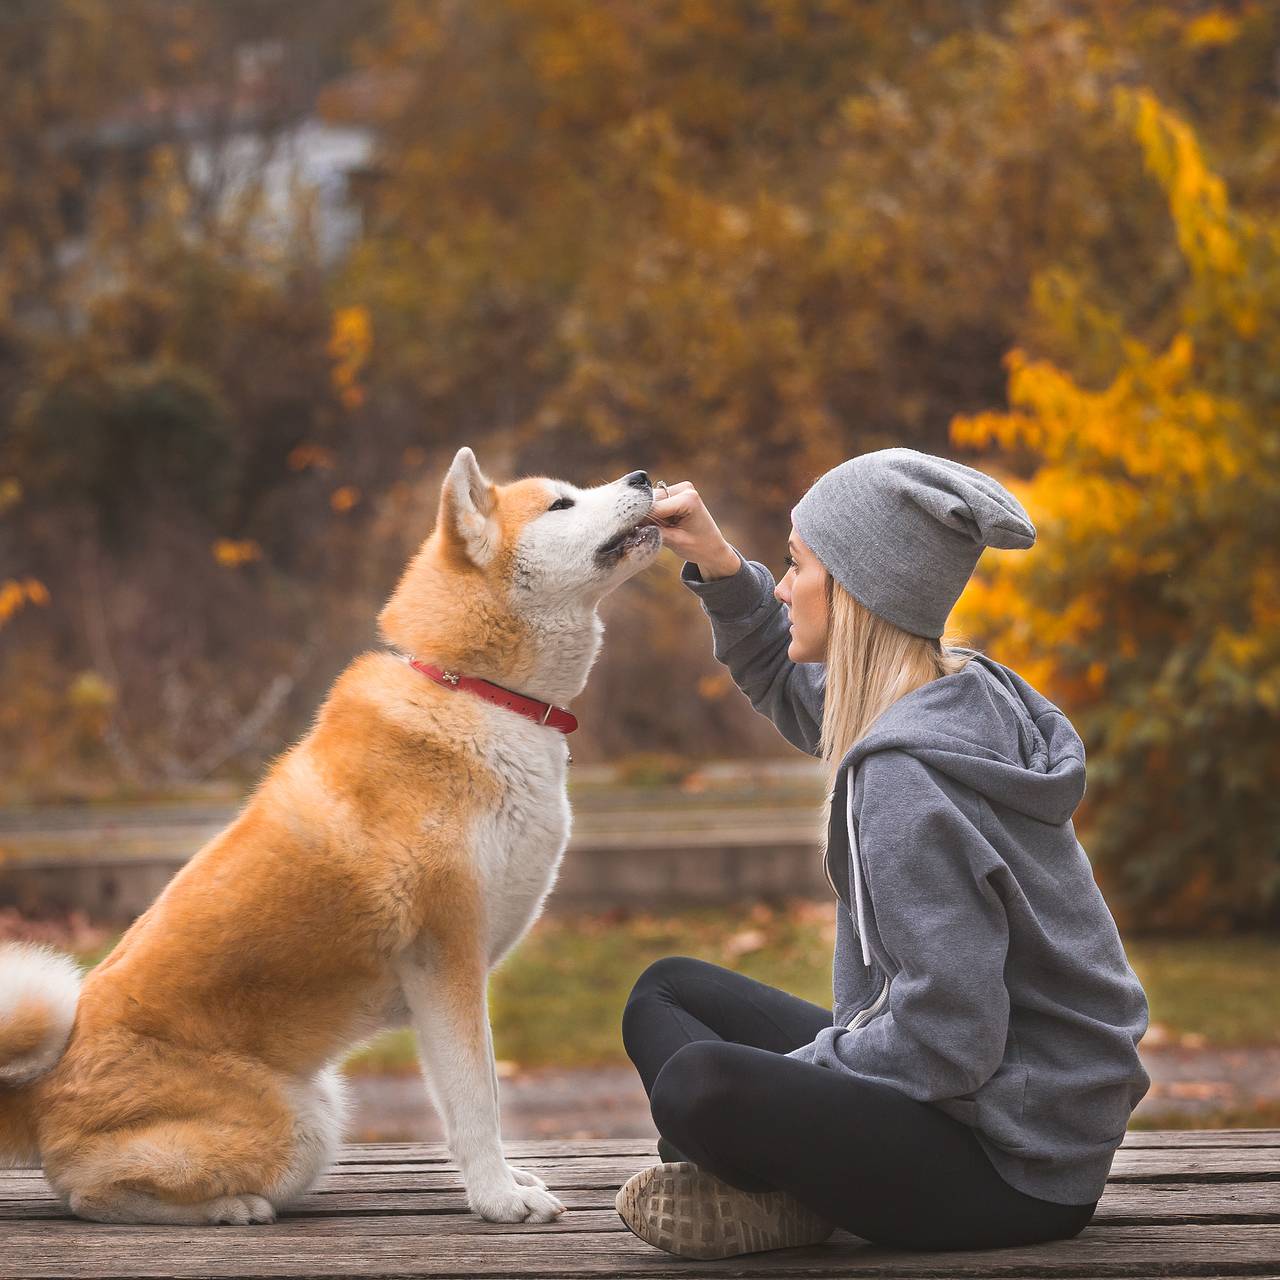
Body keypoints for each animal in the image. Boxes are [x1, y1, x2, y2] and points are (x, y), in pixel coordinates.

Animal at [0, 445, 660, 1223]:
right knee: (89, 1192)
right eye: (561, 503)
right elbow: (478, 1102)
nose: (644, 477)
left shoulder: (444, 982)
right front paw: (499, 1199)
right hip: (301, 1125)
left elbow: (464, 1104)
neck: (475, 691)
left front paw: (505, 1185)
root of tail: (40, 1091)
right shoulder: (447, 960)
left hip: (320, 1105)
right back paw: (231, 1207)